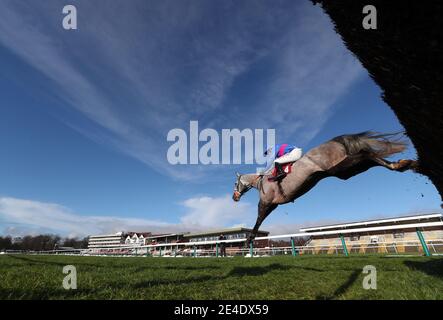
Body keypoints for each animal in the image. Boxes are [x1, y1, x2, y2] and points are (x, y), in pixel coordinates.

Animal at [232, 131, 420, 244]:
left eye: (235, 184)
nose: (234, 197)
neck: (260, 183)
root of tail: (335, 141)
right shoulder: (274, 204)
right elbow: (261, 219)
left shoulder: (265, 202)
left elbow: (258, 220)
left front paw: (248, 241)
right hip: (344, 171)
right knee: (369, 157)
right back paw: (403, 164)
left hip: (339, 168)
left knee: (366, 154)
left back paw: (402, 164)